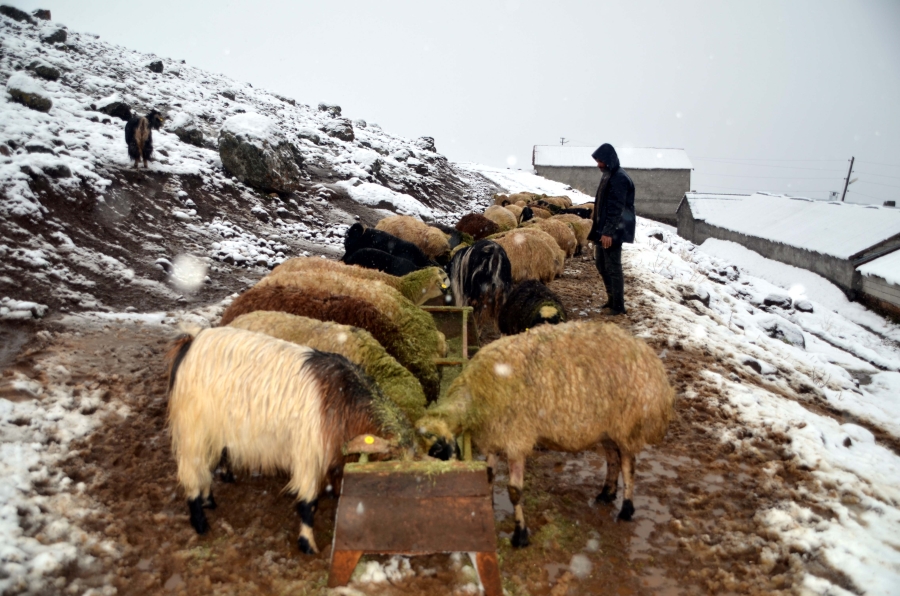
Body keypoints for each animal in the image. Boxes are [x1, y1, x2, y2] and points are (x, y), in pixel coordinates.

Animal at [167, 326, 414, 556]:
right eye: (389, 465)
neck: (344, 401)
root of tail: (192, 342)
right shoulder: (308, 455)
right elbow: (308, 503)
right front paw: (307, 543)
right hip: (194, 429)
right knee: (191, 472)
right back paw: (200, 522)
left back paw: (209, 500)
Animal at [416, 318, 676, 548]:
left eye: (437, 450)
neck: (474, 399)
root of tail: (650, 358)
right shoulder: (494, 438)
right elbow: (488, 476)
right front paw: (487, 506)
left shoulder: (516, 439)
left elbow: (514, 491)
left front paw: (520, 536)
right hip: (606, 428)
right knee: (613, 459)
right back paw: (606, 493)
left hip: (627, 424)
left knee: (628, 465)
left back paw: (626, 509)